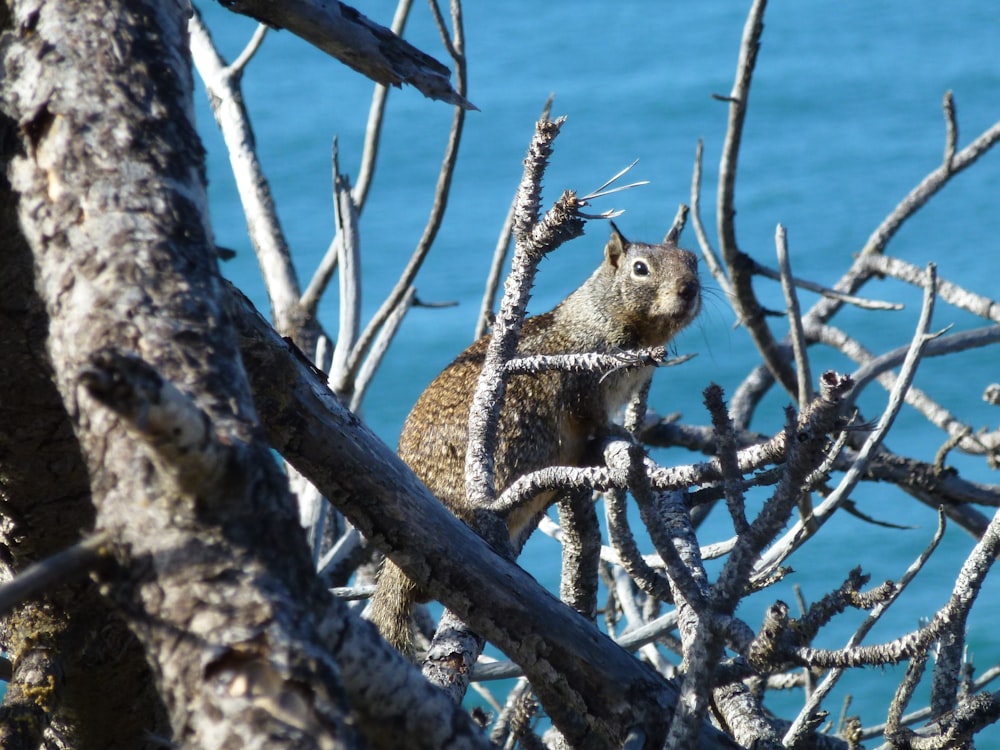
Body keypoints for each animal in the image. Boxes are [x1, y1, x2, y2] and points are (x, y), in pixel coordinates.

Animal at [370, 223, 704, 656]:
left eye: (693, 261)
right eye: (640, 268)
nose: (689, 288)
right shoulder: (584, 386)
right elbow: (595, 418)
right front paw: (620, 433)